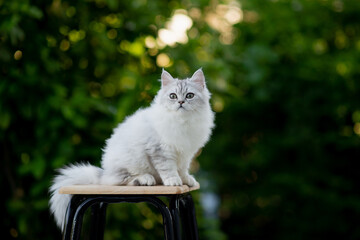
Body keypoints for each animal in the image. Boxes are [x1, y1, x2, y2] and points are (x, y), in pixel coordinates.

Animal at [49, 68, 215, 230]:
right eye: (173, 96)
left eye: (189, 95)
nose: (180, 102)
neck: (183, 122)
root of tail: (103, 174)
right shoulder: (160, 151)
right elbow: (168, 169)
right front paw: (174, 181)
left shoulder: (186, 154)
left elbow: (182, 169)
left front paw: (186, 181)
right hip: (129, 165)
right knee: (120, 181)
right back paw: (145, 179)